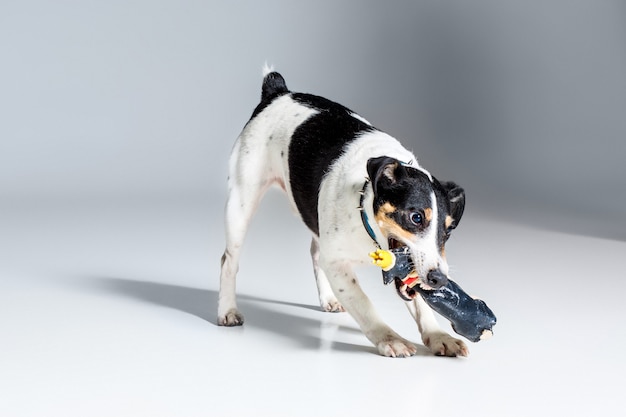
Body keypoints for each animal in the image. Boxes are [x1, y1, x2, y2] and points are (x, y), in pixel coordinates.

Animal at [217, 66, 466, 356]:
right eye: (416, 218)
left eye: (448, 231)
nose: (439, 279)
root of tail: (278, 92)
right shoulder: (337, 263)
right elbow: (363, 302)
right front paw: (389, 338)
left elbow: (420, 303)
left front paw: (439, 336)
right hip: (241, 204)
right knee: (228, 261)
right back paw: (227, 310)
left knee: (315, 253)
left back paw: (328, 298)